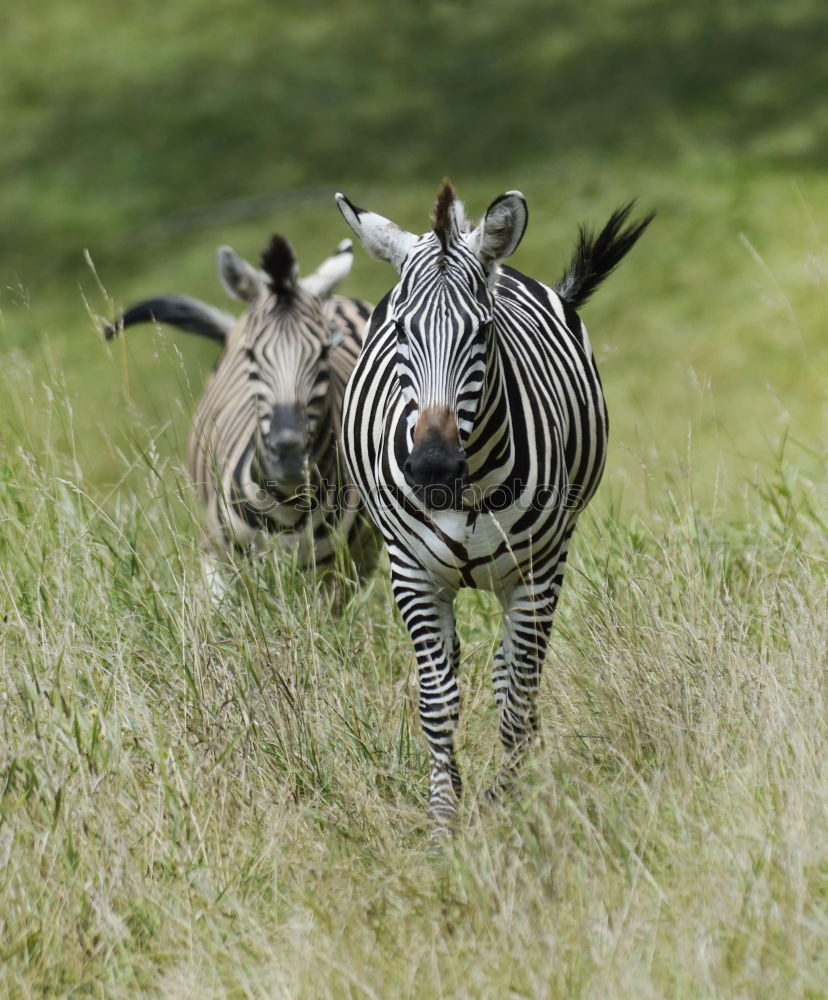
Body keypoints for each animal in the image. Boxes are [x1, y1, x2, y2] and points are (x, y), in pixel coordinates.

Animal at [105, 232, 380, 592]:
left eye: (323, 353)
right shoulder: (215, 558)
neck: (287, 508)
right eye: (250, 354)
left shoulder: (336, 576)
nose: (289, 454)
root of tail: (339, 298)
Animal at [336, 182, 652, 836]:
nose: (432, 467)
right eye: (400, 332)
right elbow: (437, 703)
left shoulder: (536, 571)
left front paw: (507, 804)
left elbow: (516, 696)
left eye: (481, 333)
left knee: (512, 677)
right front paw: (442, 822)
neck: (468, 488)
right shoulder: (412, 576)